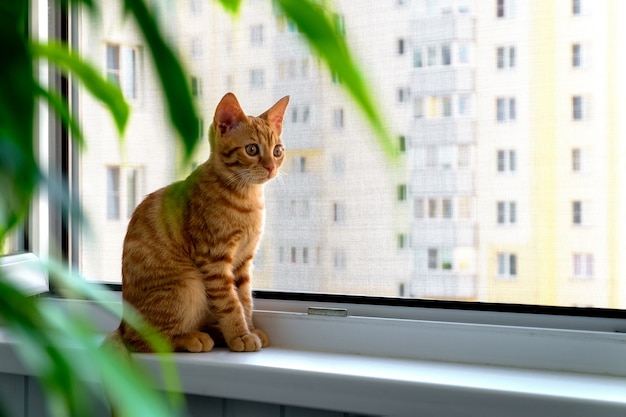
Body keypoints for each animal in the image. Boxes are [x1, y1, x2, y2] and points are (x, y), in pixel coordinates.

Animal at [109, 93, 288, 352]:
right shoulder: (214, 259)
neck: (247, 198)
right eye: (252, 149)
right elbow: (230, 302)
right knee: (144, 340)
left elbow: (245, 298)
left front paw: (249, 329)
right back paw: (192, 337)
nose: (271, 167)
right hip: (189, 283)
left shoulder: (244, 261)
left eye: (277, 151)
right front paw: (240, 335)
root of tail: (122, 325)